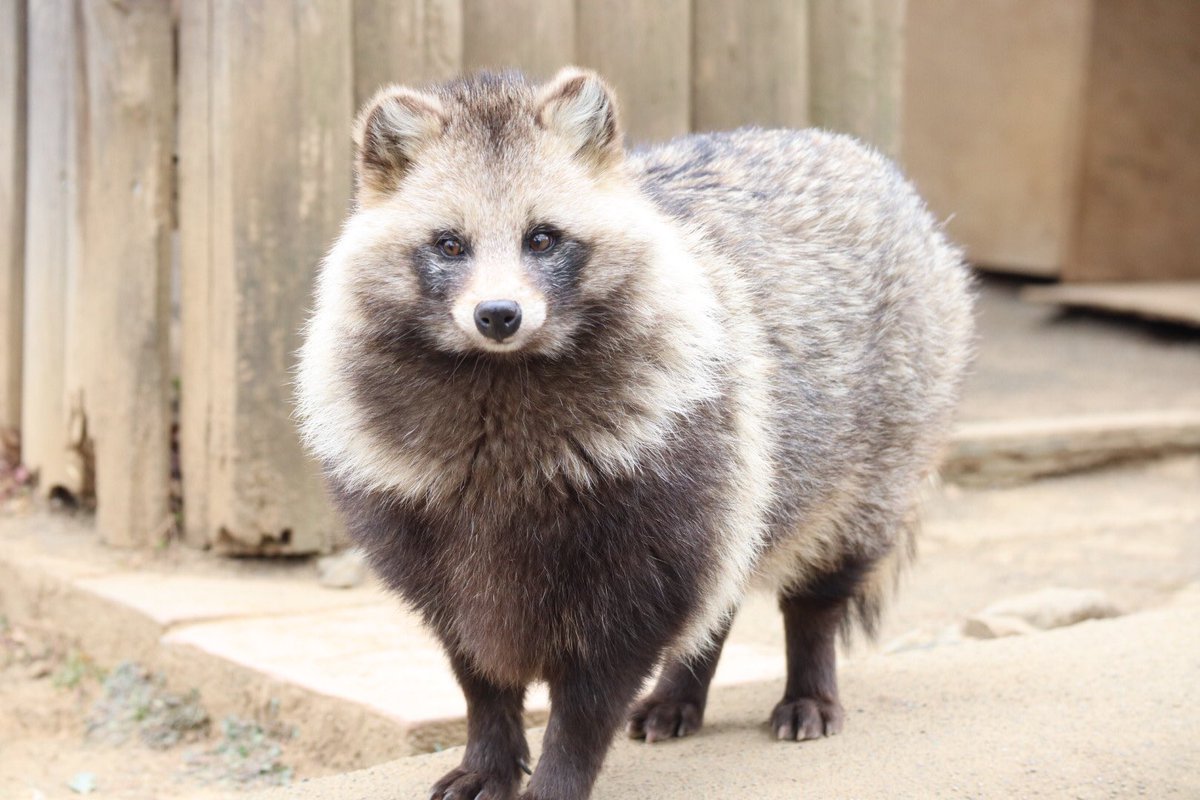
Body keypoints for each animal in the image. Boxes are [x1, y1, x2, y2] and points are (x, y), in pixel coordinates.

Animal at [297, 70, 974, 800]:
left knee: (821, 571)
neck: (501, 376)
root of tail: (848, 149)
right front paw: (490, 751)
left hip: (882, 425)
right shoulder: (419, 510)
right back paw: (685, 687)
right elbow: (474, 658)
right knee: (723, 579)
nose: (499, 315)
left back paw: (808, 678)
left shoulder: (662, 461)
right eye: (449, 244)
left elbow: (600, 675)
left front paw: (561, 772)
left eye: (543, 238)